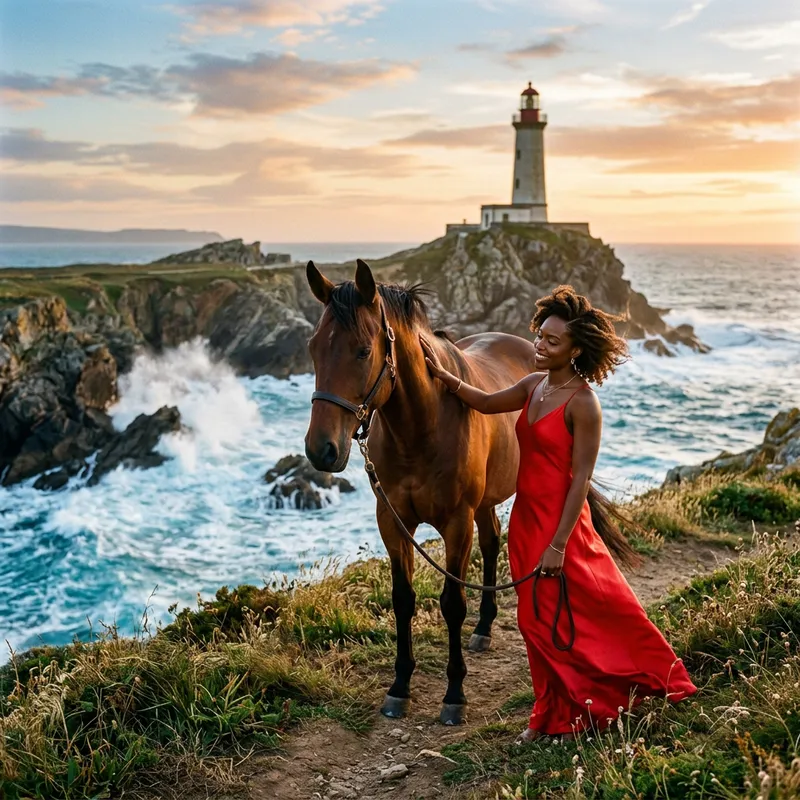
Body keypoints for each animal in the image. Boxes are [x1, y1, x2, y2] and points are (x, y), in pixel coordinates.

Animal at [303, 258, 538, 725]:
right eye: (314, 347)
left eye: (363, 350)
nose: (321, 449)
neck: (421, 428)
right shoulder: (392, 523)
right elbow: (403, 599)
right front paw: (399, 686)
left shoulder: (455, 524)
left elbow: (452, 603)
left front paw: (454, 695)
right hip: (484, 503)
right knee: (491, 542)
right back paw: (484, 628)